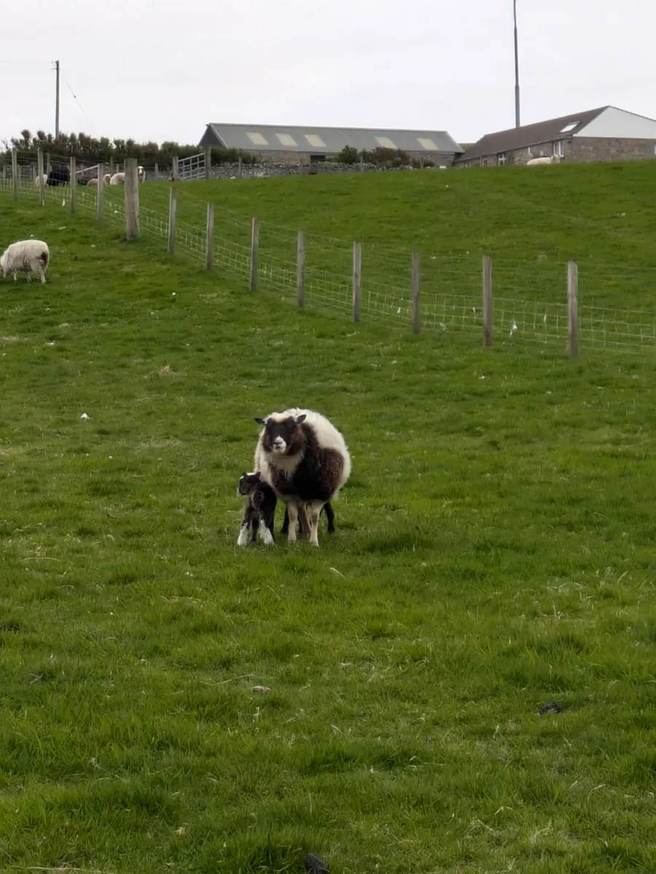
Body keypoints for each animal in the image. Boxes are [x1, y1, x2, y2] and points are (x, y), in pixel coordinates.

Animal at [254, 408, 350, 547]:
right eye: (268, 427)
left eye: (292, 426)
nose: (277, 443)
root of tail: (295, 409)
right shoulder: (289, 493)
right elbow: (292, 515)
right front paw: (292, 539)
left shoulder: (320, 494)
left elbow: (315, 517)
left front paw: (314, 542)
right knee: (300, 511)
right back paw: (303, 530)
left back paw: (309, 531)